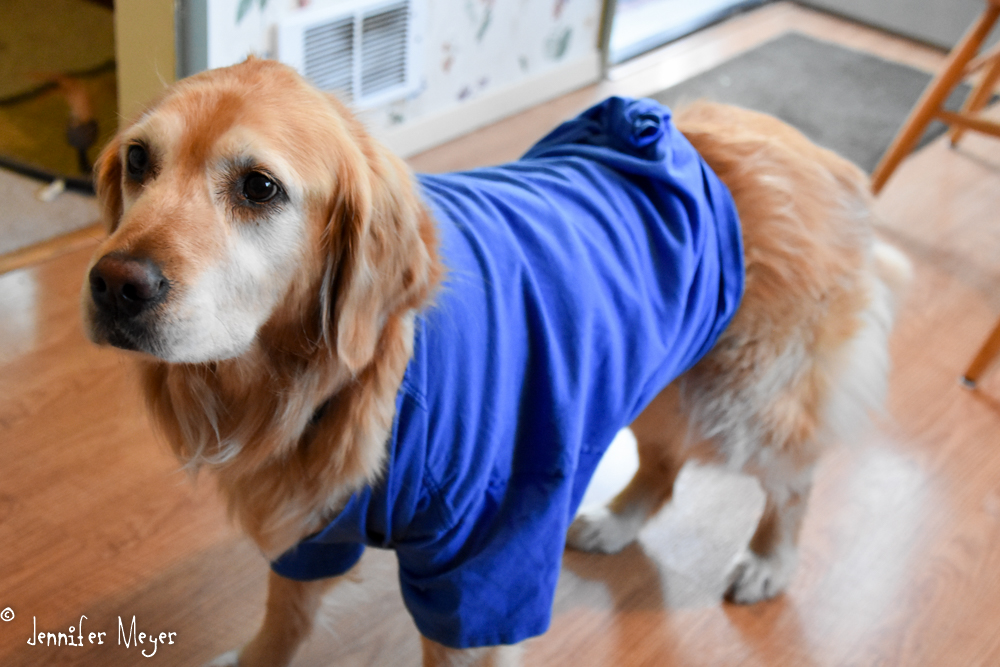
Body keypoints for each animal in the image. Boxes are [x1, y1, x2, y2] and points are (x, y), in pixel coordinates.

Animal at [84, 58, 916, 667]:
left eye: (259, 187)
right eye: (139, 160)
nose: (113, 283)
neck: (349, 377)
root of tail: (816, 151)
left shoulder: (484, 553)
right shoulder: (312, 524)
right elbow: (283, 618)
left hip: (741, 394)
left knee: (796, 475)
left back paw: (769, 558)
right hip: (656, 372)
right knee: (664, 461)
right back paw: (618, 518)